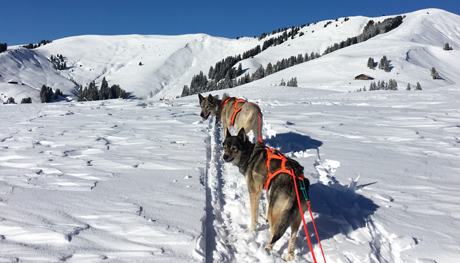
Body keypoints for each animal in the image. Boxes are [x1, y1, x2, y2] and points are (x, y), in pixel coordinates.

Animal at [222, 128, 310, 262]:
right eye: (225, 147)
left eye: (234, 148)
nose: (224, 156)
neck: (249, 154)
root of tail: (297, 182)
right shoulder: (268, 190)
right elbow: (267, 205)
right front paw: (264, 217)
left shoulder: (254, 192)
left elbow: (254, 217)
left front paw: (250, 231)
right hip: (295, 217)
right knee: (292, 237)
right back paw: (289, 256)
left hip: (278, 216)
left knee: (274, 233)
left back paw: (267, 250)